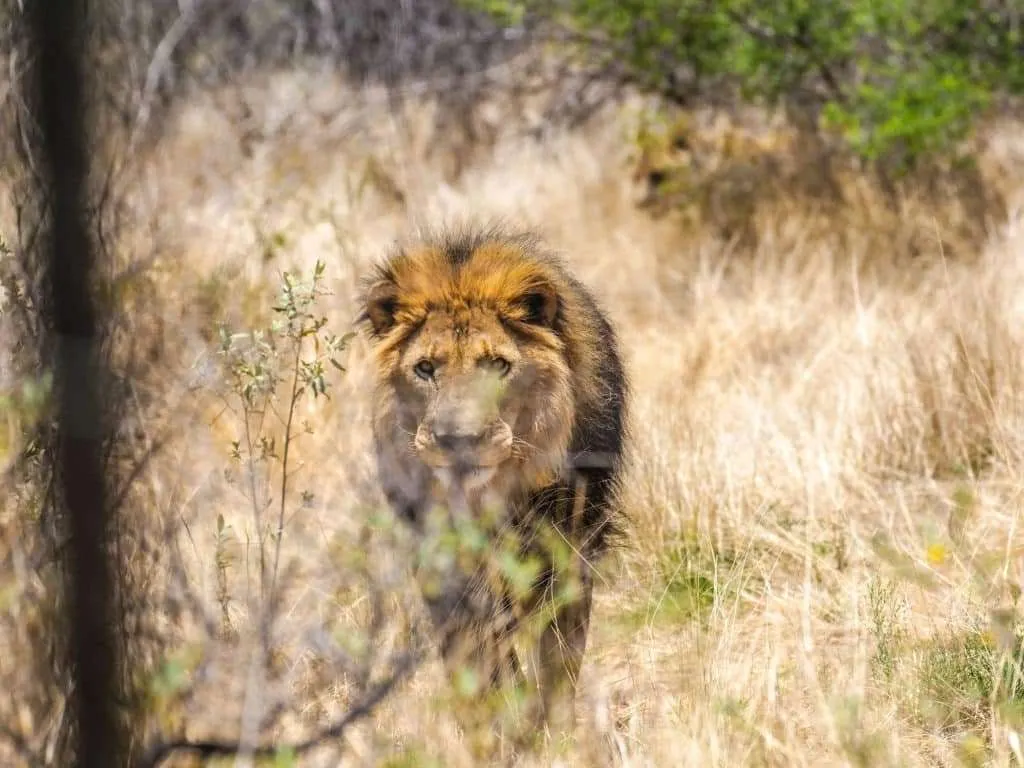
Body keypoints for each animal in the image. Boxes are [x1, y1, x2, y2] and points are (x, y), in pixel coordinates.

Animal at [357, 223, 629, 747]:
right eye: (426, 368)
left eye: (497, 365)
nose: (459, 440)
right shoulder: (444, 557)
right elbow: (479, 653)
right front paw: (497, 730)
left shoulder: (568, 544)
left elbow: (558, 652)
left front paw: (551, 734)